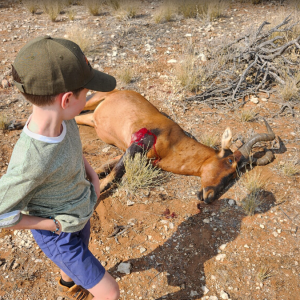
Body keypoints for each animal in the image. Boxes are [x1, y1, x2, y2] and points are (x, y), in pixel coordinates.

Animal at [76, 89, 276, 204]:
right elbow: (114, 174)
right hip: (90, 101)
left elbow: (106, 167)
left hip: (90, 118)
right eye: (229, 162)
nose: (209, 197)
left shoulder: (133, 154)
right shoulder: (137, 144)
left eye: (234, 176)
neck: (174, 140)